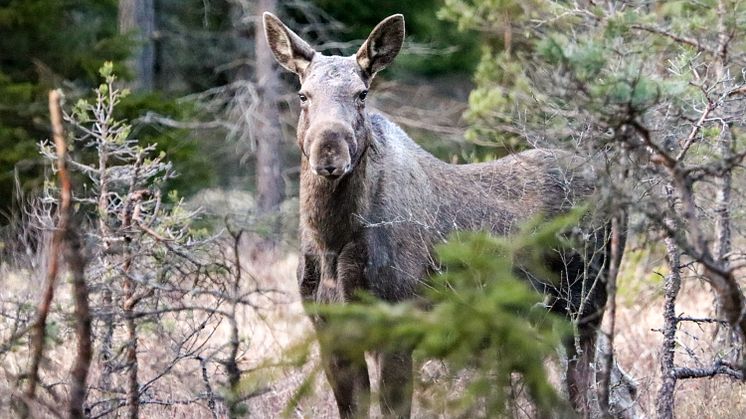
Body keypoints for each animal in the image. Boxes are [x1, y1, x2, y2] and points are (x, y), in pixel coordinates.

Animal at [264, 11, 620, 418]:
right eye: (303, 95)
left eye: (362, 94)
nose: (329, 151)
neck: (331, 241)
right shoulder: (331, 334)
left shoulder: (399, 328)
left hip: (584, 308)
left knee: (584, 390)